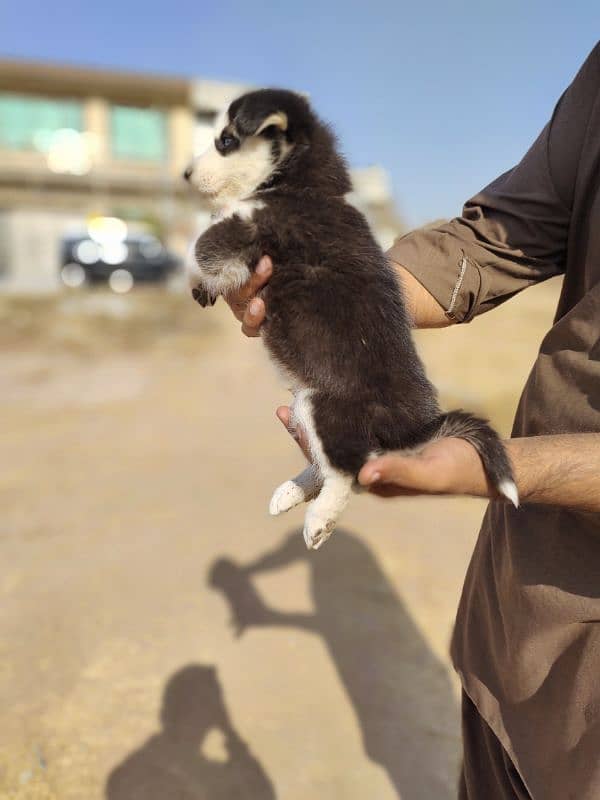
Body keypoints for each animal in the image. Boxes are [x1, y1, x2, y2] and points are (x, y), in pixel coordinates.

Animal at [185, 87, 516, 552]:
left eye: (226, 141)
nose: (184, 174)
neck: (304, 187)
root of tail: (416, 430)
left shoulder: (248, 227)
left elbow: (203, 241)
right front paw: (206, 287)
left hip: (323, 405)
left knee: (347, 471)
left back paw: (319, 518)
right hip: (308, 406)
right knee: (333, 463)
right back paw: (291, 492)